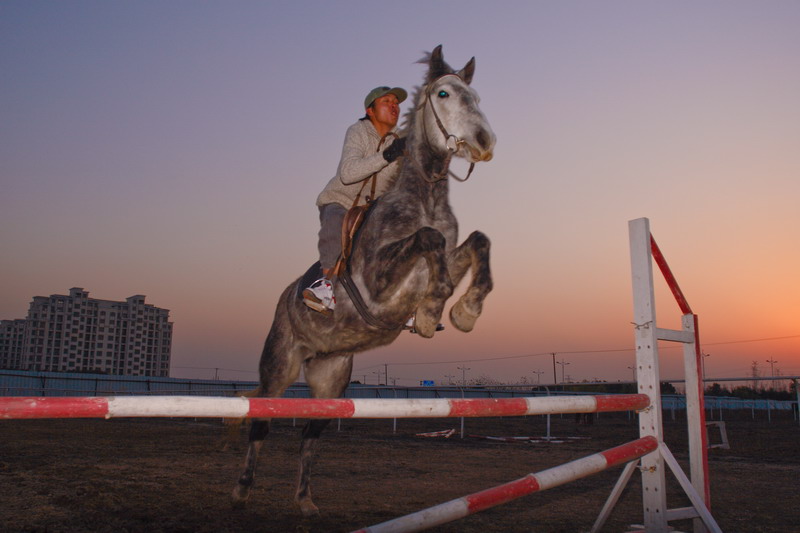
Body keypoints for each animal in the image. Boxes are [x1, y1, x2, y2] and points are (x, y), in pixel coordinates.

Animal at [228, 44, 496, 516]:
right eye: (443, 93)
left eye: (476, 96)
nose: (485, 143)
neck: (424, 197)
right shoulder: (378, 286)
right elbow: (427, 241)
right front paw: (431, 312)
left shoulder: (449, 255)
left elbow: (477, 241)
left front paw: (464, 312)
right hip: (279, 366)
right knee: (261, 423)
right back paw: (241, 491)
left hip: (330, 380)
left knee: (309, 436)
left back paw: (305, 502)